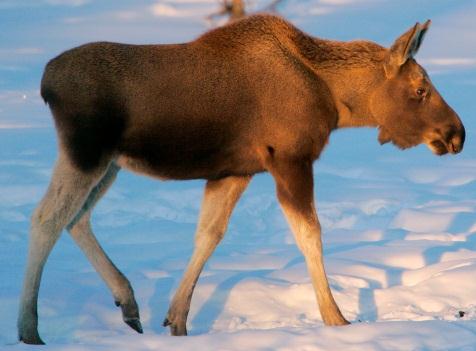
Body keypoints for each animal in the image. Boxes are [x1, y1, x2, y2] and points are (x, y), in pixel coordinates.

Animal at [17, 15, 464, 346]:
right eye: (421, 89)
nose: (457, 133)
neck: (336, 102)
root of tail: (44, 83)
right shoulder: (289, 159)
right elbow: (310, 235)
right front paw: (336, 319)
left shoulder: (235, 171)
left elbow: (209, 235)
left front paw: (177, 320)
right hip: (86, 152)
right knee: (46, 218)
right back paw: (29, 328)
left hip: (109, 163)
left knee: (77, 219)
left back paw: (127, 302)